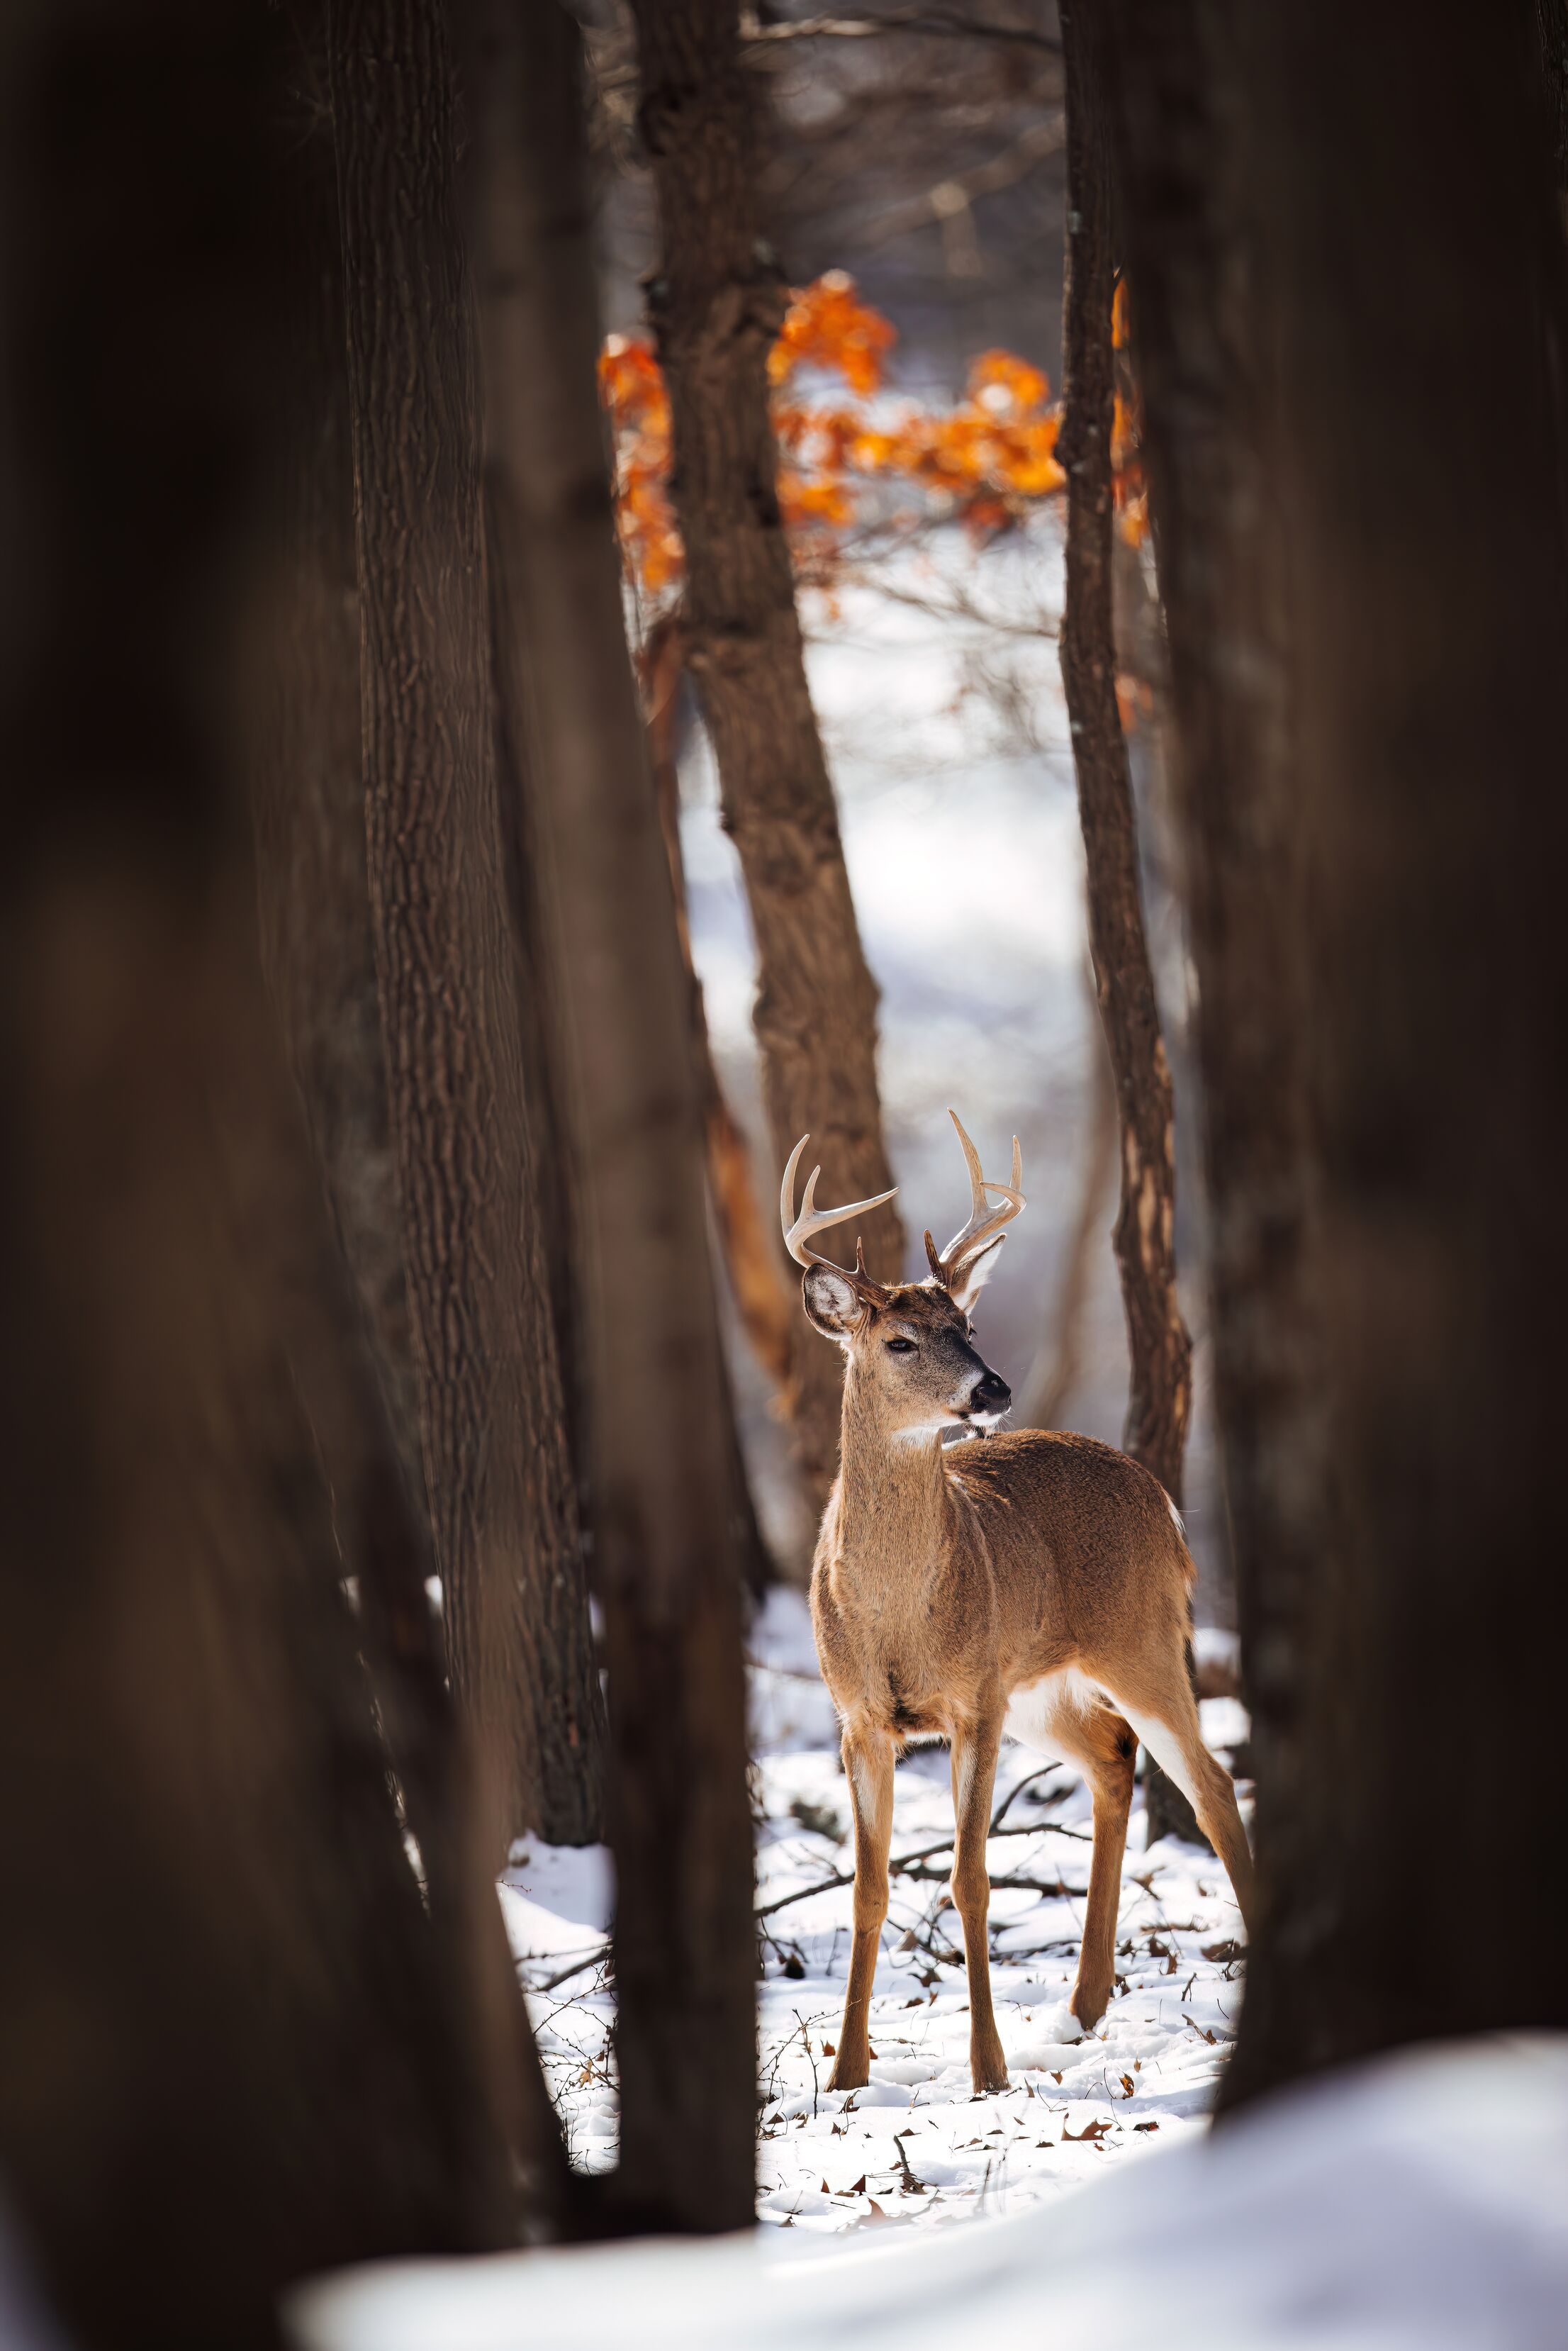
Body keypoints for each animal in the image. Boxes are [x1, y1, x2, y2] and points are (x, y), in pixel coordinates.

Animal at [783, 1112, 1255, 2096]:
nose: (992, 1387)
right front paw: (845, 2074)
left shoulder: (975, 1697)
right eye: (900, 1340)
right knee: (1113, 1758)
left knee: (1209, 1782)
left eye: (966, 1323)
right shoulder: (858, 1716)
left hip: (1140, 1640)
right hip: (1043, 1685)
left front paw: (989, 2069)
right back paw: (1082, 2005)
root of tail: (1162, 1499)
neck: (897, 1614)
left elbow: (969, 1875)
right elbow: (868, 1884)